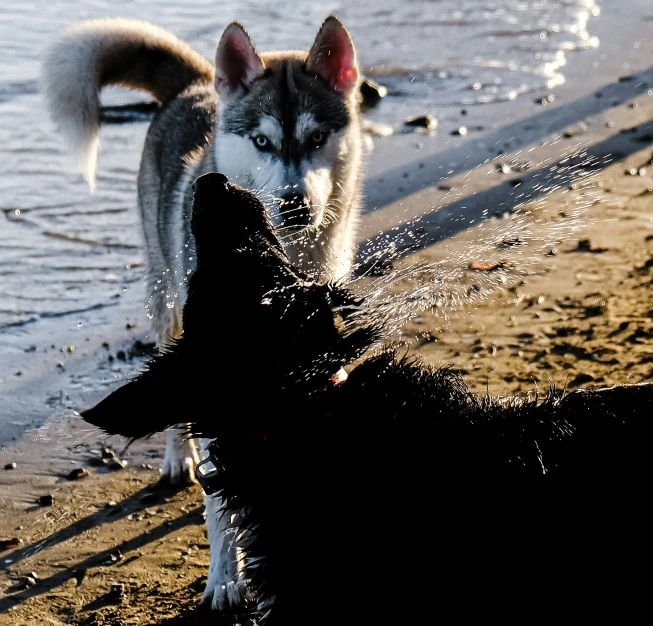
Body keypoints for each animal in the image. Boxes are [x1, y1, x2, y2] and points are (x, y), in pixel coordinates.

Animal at [43, 14, 364, 486]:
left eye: (318, 137)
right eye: (261, 142)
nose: (295, 205)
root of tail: (195, 82)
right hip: (165, 295)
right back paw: (179, 456)